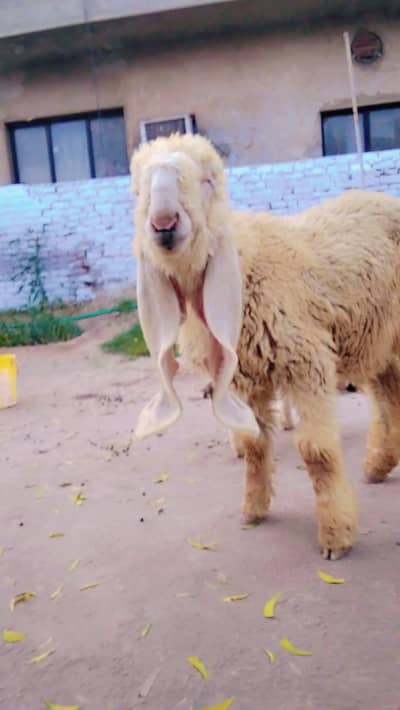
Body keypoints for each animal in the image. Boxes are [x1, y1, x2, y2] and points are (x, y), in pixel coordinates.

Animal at [131, 132, 400, 560]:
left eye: (208, 180)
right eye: (138, 190)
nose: (164, 223)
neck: (246, 260)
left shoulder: (306, 361)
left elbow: (317, 451)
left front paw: (335, 536)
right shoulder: (245, 376)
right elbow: (255, 445)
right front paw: (253, 509)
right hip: (374, 338)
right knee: (390, 398)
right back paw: (378, 465)